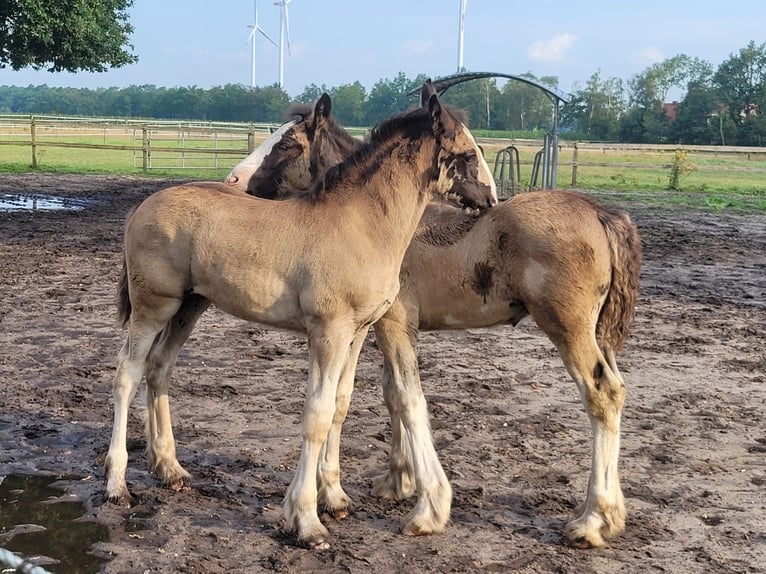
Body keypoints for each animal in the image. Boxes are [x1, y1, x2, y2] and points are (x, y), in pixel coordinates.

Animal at [103, 83, 498, 552]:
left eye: (288, 143)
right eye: (469, 153)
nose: (492, 198)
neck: (360, 223)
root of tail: (141, 208)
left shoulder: (358, 331)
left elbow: (341, 405)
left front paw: (336, 498)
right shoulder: (328, 331)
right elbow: (317, 414)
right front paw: (307, 520)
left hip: (189, 306)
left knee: (159, 368)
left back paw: (170, 469)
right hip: (153, 305)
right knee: (127, 373)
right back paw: (117, 485)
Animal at [232, 98, 640, 548]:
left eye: (287, 143)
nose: (235, 181)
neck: (378, 220)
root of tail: (602, 214)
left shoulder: (391, 322)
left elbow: (404, 396)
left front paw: (424, 504)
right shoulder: (371, 326)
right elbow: (377, 394)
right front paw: (396, 481)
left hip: (568, 328)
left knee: (602, 394)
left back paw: (592, 520)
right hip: (596, 333)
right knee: (618, 390)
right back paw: (612, 514)